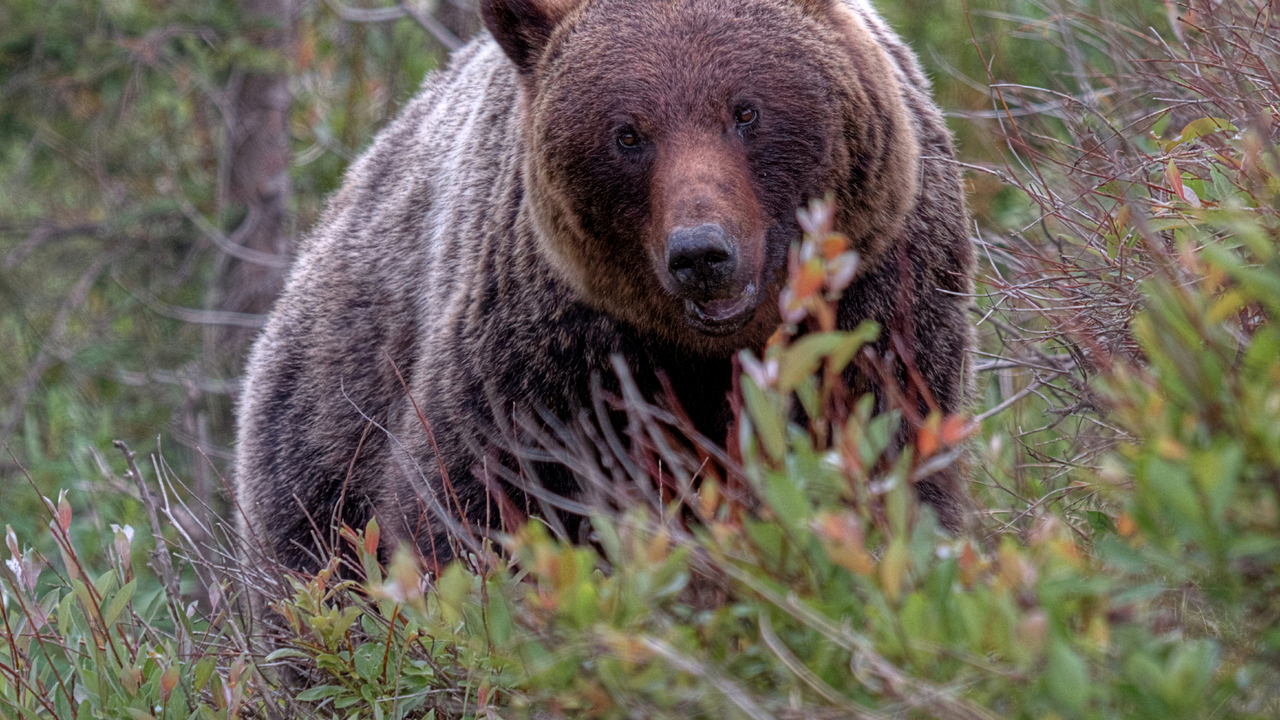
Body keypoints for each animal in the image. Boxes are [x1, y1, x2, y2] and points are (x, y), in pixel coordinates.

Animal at [233, 0, 974, 578]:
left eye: (745, 111)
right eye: (627, 133)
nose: (701, 253)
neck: (710, 351)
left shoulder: (882, 308)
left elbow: (889, 471)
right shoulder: (546, 360)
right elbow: (470, 507)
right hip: (316, 445)